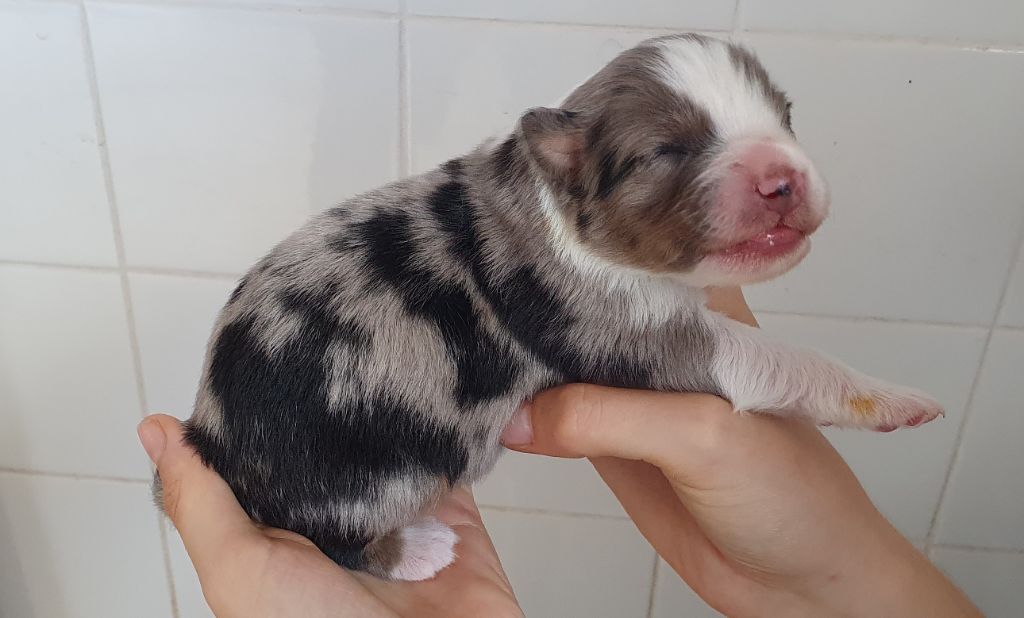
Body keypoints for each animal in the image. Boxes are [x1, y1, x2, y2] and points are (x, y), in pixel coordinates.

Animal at [162, 34, 943, 581]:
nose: (784, 179)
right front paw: (900, 400)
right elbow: (771, 358)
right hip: (364, 476)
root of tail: (213, 436)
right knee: (331, 542)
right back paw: (419, 551)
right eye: (667, 150)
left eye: (786, 116)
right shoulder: (635, 336)